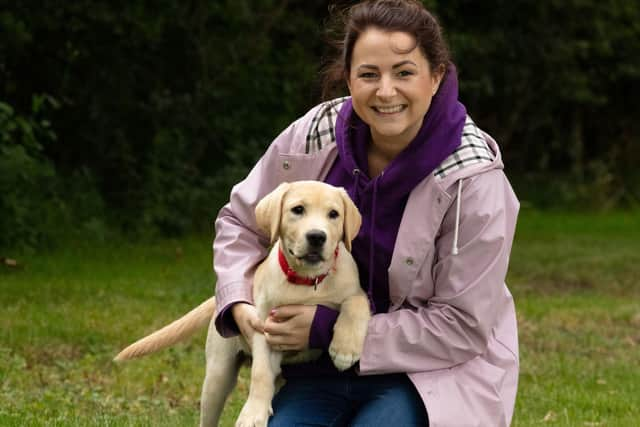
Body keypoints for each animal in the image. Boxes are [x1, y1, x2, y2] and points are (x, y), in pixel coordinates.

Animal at [116, 182, 370, 427]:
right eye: (298, 210)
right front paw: (253, 414)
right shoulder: (265, 328)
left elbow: (356, 304)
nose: (317, 236)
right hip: (218, 374)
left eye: (334, 214)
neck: (308, 281)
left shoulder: (354, 290)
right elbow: (261, 373)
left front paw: (345, 350)